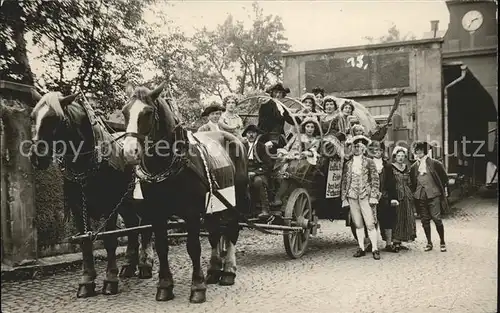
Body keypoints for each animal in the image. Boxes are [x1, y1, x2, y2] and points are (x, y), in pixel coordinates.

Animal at [29, 89, 154, 298]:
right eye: (33, 117)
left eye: (57, 119)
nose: (37, 157)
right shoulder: (78, 207)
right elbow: (85, 243)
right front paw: (87, 281)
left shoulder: (110, 205)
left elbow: (110, 240)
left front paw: (110, 280)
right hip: (126, 203)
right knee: (132, 225)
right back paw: (129, 265)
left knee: (145, 226)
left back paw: (145, 265)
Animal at [121, 83, 246, 302]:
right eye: (125, 111)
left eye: (148, 112)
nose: (129, 152)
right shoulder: (157, 213)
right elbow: (162, 247)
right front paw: (164, 286)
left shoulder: (192, 212)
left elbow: (193, 247)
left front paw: (197, 287)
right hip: (213, 204)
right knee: (215, 233)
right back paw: (214, 271)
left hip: (233, 201)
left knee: (231, 230)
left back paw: (228, 272)